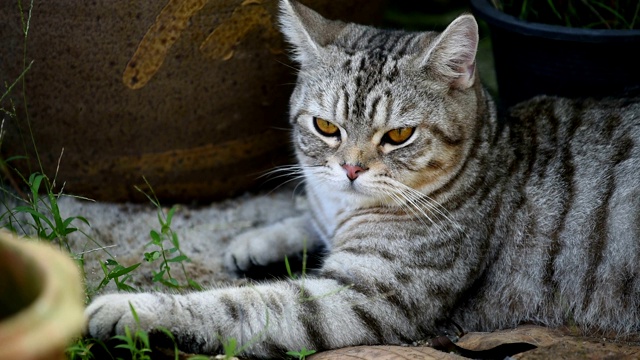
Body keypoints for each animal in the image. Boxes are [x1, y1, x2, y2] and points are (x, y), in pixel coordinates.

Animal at [86, 0, 640, 354]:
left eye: (398, 135)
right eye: (326, 127)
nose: (351, 167)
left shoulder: (366, 296)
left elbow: (241, 306)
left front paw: (132, 310)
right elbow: (305, 219)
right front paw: (259, 240)